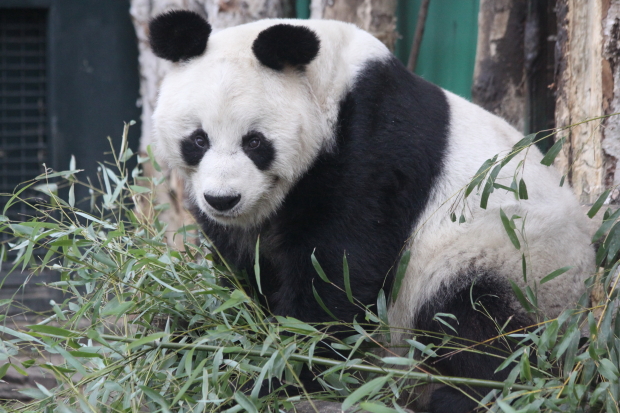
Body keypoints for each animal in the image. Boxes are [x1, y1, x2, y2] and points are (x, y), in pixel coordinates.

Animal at [148, 9, 592, 412]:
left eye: (254, 142)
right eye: (198, 140)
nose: (222, 199)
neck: (332, 84)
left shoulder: (371, 145)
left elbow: (341, 268)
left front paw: (285, 370)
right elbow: (245, 275)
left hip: (515, 262)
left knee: (478, 325)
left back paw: (464, 394)